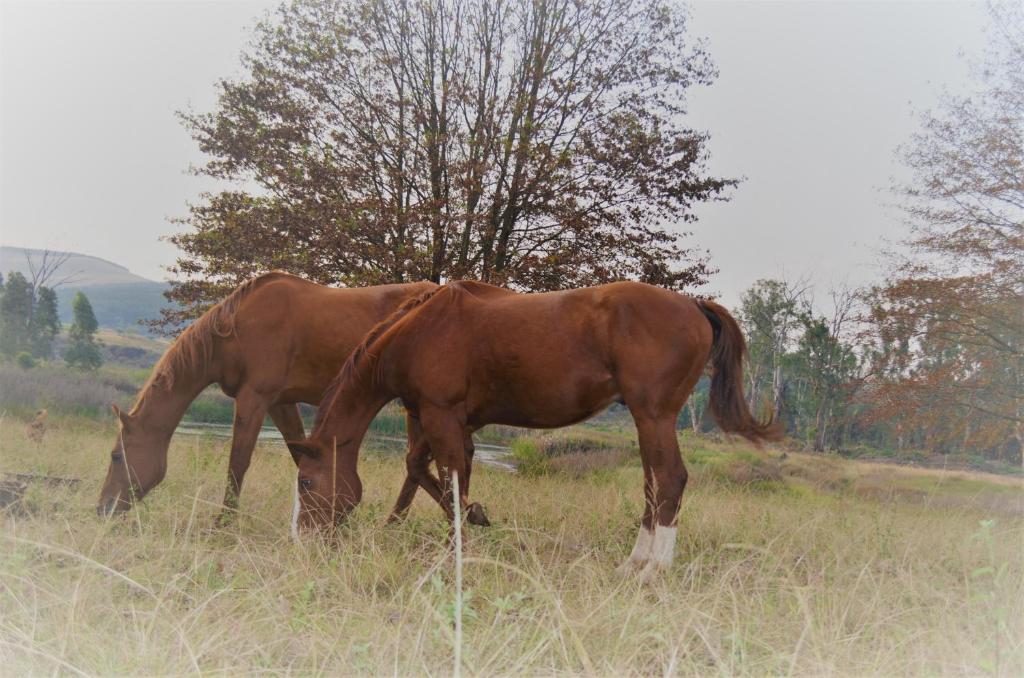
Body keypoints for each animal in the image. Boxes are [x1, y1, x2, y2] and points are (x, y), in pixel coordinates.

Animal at [97, 271, 488, 528]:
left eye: (116, 456)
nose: (103, 508)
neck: (235, 329)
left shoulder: (253, 398)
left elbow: (238, 462)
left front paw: (223, 523)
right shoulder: (279, 403)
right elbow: (299, 455)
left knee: (425, 463)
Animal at [285, 280, 779, 581]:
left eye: (306, 482)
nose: (302, 541)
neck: (422, 330)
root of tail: (694, 304)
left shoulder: (440, 416)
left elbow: (449, 480)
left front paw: (457, 552)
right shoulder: (441, 420)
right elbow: (428, 472)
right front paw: (476, 518)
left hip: (653, 417)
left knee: (670, 481)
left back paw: (653, 569)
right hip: (649, 424)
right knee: (653, 487)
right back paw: (633, 563)